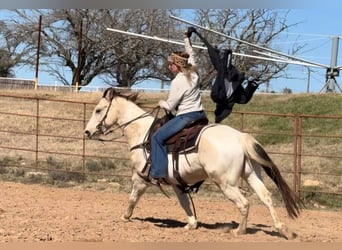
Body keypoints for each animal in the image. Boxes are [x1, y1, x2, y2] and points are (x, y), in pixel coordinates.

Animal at [84, 87, 300, 239]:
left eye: (98, 110)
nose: (87, 131)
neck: (141, 132)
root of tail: (240, 137)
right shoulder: (177, 182)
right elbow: (185, 203)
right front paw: (191, 224)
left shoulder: (141, 177)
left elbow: (133, 198)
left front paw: (125, 217)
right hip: (251, 175)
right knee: (266, 197)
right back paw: (283, 229)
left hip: (226, 184)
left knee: (244, 203)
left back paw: (239, 231)